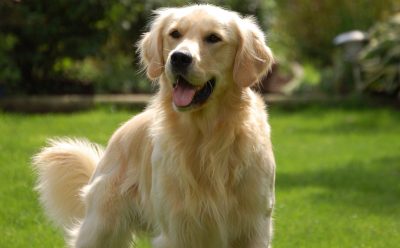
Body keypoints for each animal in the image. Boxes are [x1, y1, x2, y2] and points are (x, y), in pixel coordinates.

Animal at [32, 4, 276, 248]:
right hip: (102, 226)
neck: (205, 136)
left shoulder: (254, 228)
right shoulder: (178, 229)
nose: (179, 58)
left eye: (213, 38)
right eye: (175, 33)